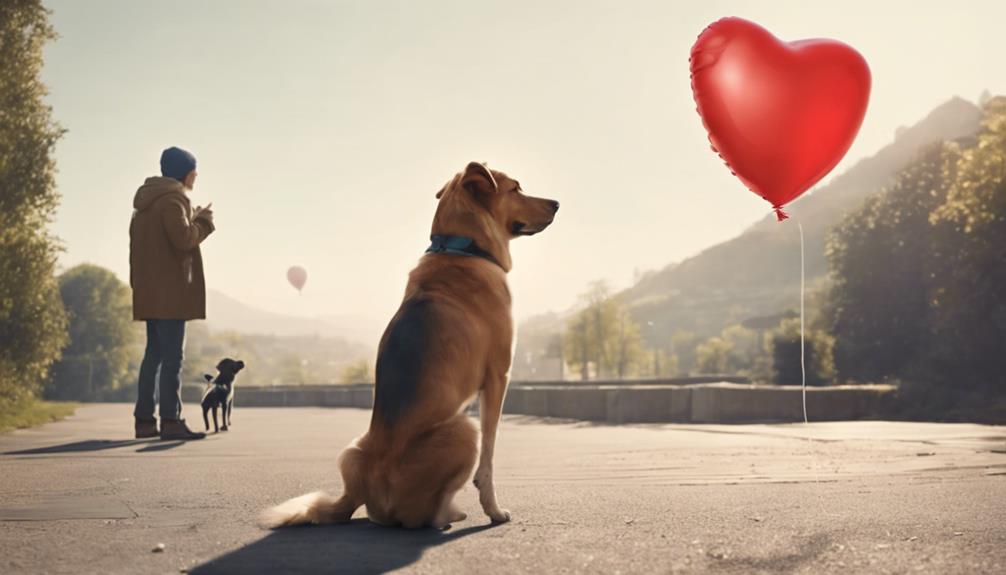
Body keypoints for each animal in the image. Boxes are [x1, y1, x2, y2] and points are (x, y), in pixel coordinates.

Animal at [259, 161, 559, 530]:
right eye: (516, 188)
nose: (557, 204)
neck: (462, 247)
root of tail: (364, 491)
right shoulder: (497, 378)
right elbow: (488, 458)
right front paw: (494, 510)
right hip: (463, 426)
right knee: (422, 516)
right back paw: (446, 516)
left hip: (352, 451)